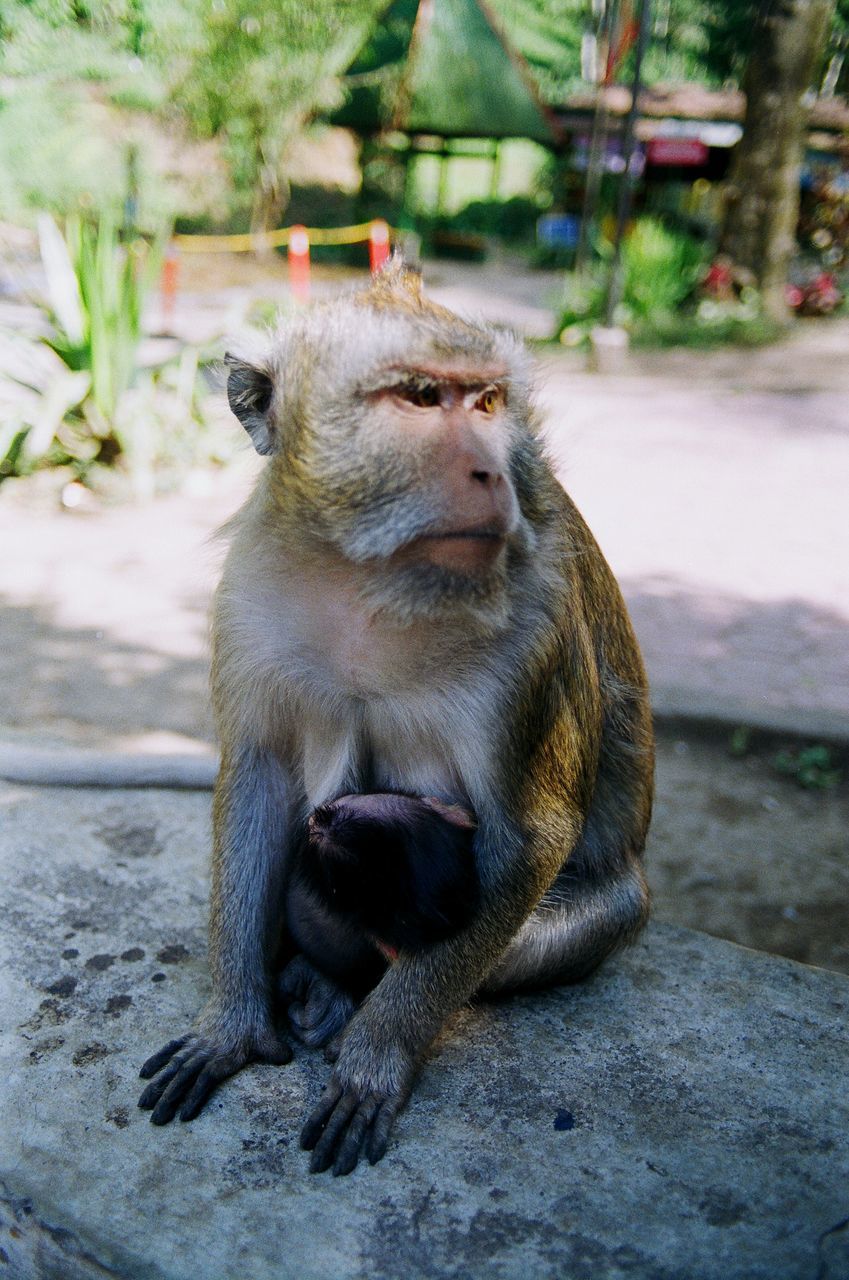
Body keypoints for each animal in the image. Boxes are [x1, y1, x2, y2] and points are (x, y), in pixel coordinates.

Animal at [139, 262, 655, 1177]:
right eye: (419, 397)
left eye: (486, 402)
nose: (490, 472)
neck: (369, 578)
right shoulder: (247, 595)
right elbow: (260, 773)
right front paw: (230, 1024)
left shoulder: (532, 629)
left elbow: (529, 835)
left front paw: (378, 1054)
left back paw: (339, 992)